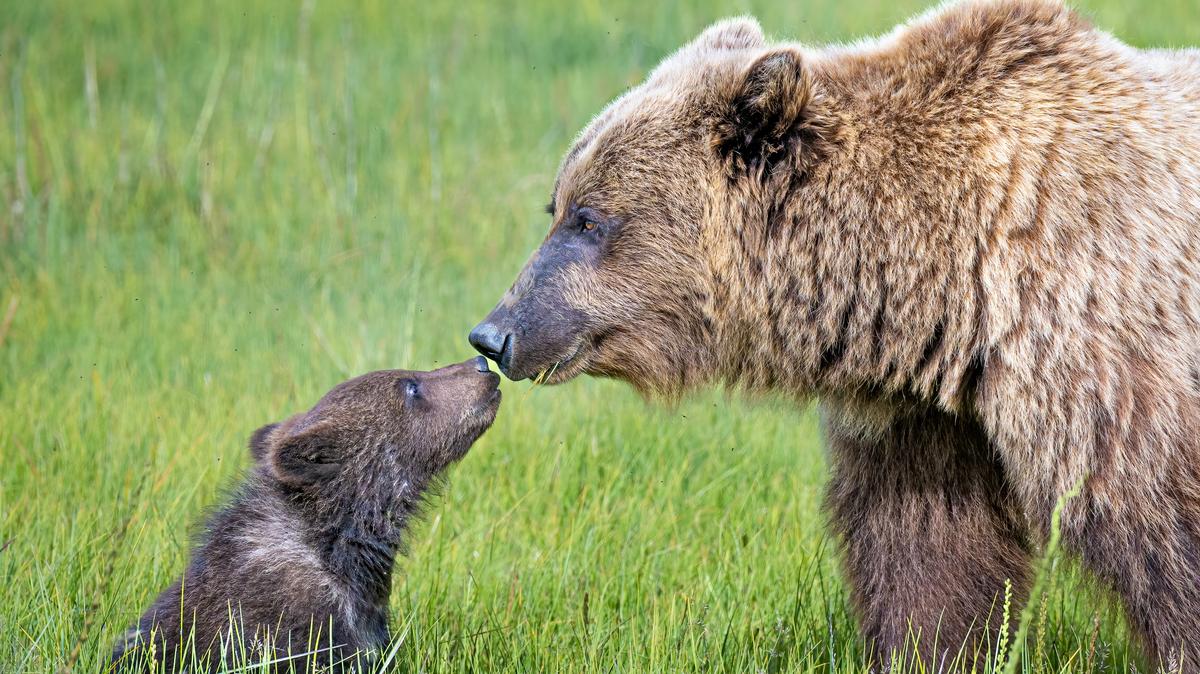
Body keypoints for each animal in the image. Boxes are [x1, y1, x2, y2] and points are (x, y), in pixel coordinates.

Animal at [472, 0, 1200, 662]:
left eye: (589, 220)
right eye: (557, 206)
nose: (494, 333)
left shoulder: (1098, 344)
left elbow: (1160, 530)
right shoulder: (922, 416)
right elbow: (929, 552)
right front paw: (931, 648)